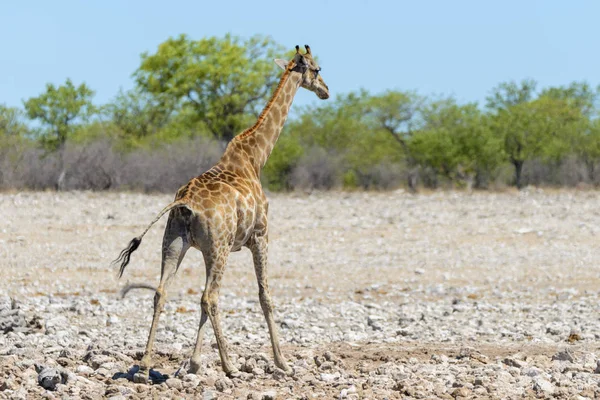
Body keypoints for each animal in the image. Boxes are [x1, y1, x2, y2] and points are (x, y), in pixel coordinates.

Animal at [111, 44, 328, 382]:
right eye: (317, 70)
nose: (326, 91)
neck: (256, 158)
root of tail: (184, 202)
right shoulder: (260, 236)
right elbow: (265, 296)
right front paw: (283, 363)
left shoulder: (205, 249)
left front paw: (194, 363)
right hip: (221, 247)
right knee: (210, 296)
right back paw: (230, 366)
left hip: (176, 243)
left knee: (163, 292)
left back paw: (144, 367)